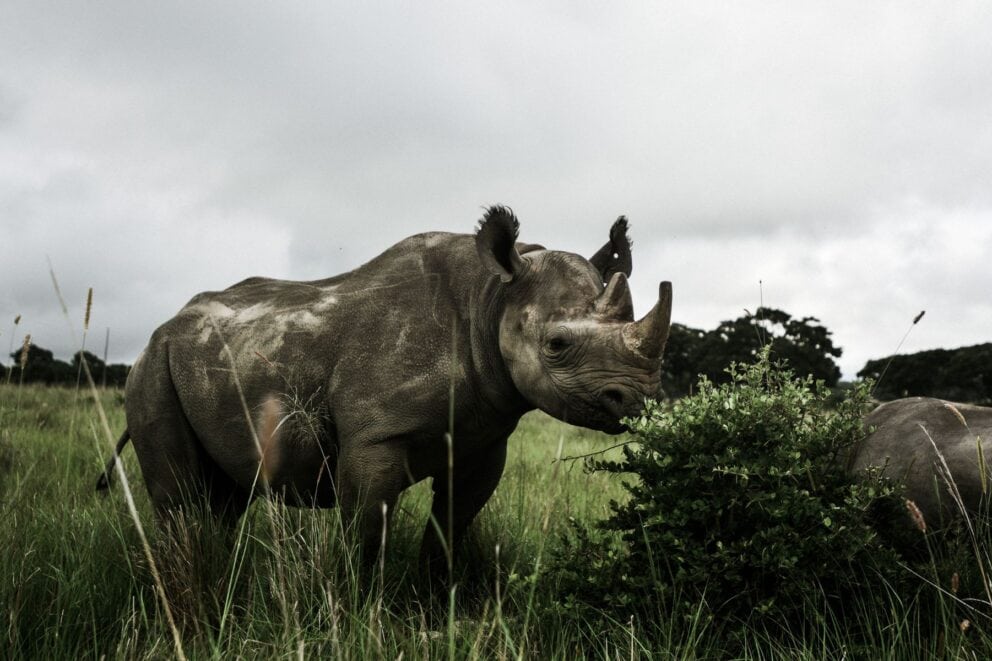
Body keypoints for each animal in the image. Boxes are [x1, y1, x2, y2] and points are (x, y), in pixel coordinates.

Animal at [97, 206, 673, 569]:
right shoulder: (376, 438)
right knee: (180, 496)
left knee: (223, 495)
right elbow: (367, 535)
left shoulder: (484, 438)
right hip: (151, 371)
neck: (492, 297)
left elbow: (452, 525)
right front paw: (360, 611)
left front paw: (434, 604)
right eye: (555, 344)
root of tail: (161, 329)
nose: (635, 398)